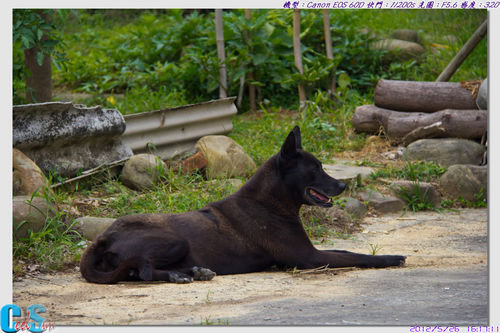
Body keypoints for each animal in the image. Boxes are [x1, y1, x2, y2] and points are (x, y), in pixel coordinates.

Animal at [80, 125, 404, 282]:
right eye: (315, 170)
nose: (342, 185)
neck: (270, 201)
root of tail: (102, 238)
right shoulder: (309, 257)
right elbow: (357, 256)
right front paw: (390, 258)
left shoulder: (311, 251)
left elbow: (347, 250)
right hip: (175, 241)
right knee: (144, 271)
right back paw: (180, 275)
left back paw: (194, 272)